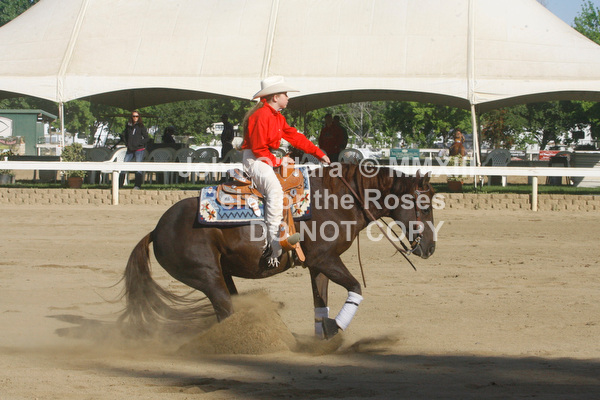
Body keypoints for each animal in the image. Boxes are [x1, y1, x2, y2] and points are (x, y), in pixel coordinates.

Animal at [119, 163, 437, 339]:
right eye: (424, 207)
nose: (431, 247)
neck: (337, 199)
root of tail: (157, 230)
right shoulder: (326, 259)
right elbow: (356, 288)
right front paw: (336, 328)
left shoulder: (317, 265)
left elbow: (320, 303)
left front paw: (323, 338)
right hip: (207, 277)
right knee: (225, 311)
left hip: (222, 274)